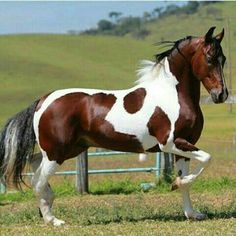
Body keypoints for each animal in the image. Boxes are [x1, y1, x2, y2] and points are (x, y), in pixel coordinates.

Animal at [0, 26, 229, 226]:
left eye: (223, 59)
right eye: (210, 58)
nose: (221, 95)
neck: (173, 94)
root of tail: (43, 100)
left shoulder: (184, 145)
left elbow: (187, 179)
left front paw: (191, 213)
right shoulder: (170, 143)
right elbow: (206, 160)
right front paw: (176, 185)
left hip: (69, 148)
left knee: (33, 162)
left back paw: (47, 207)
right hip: (57, 152)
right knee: (38, 179)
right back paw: (53, 220)